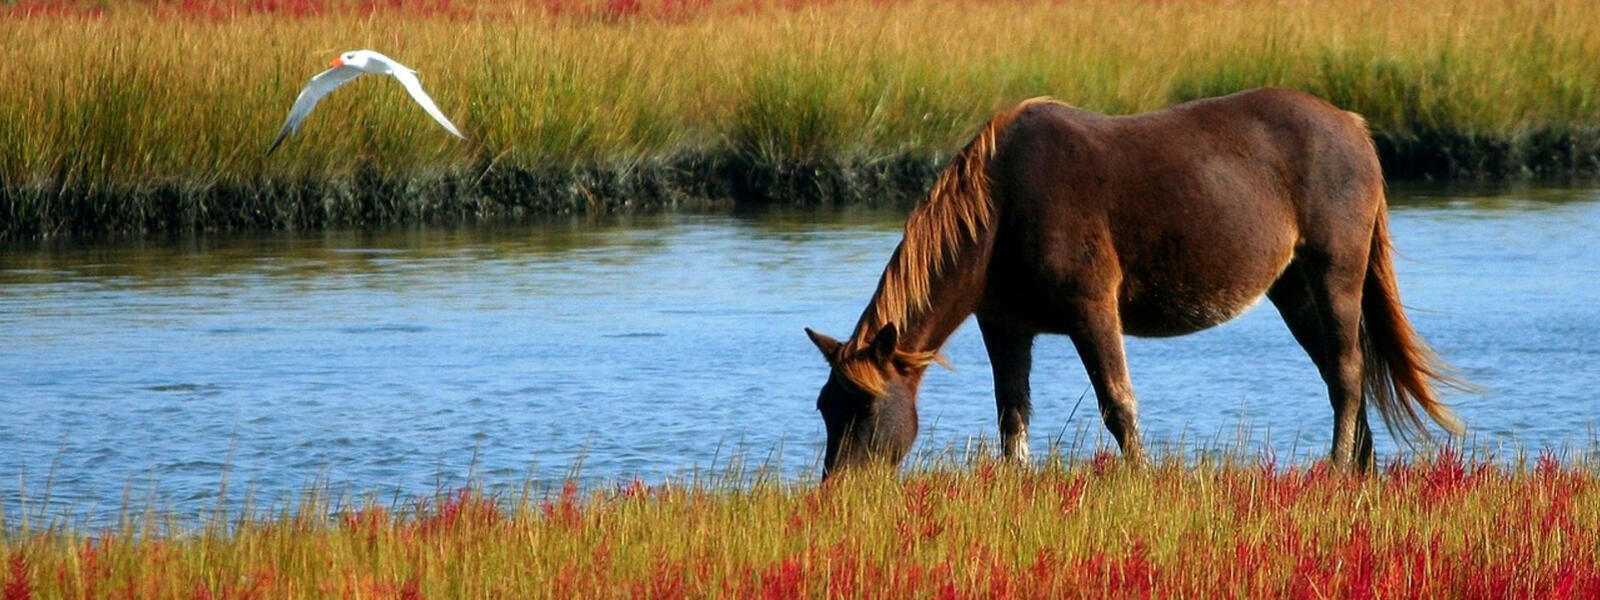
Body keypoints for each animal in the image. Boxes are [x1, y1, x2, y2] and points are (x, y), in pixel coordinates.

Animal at [804, 88, 1465, 479]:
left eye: (864, 407)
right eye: (824, 407)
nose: (839, 491)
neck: (1002, 206)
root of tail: (1353, 126)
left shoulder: (1092, 309)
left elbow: (1118, 404)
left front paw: (1140, 481)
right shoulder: (1006, 326)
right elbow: (1012, 416)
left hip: (1335, 273)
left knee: (1349, 373)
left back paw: (1335, 469)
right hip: (1294, 290)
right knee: (1339, 373)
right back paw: (1359, 469)